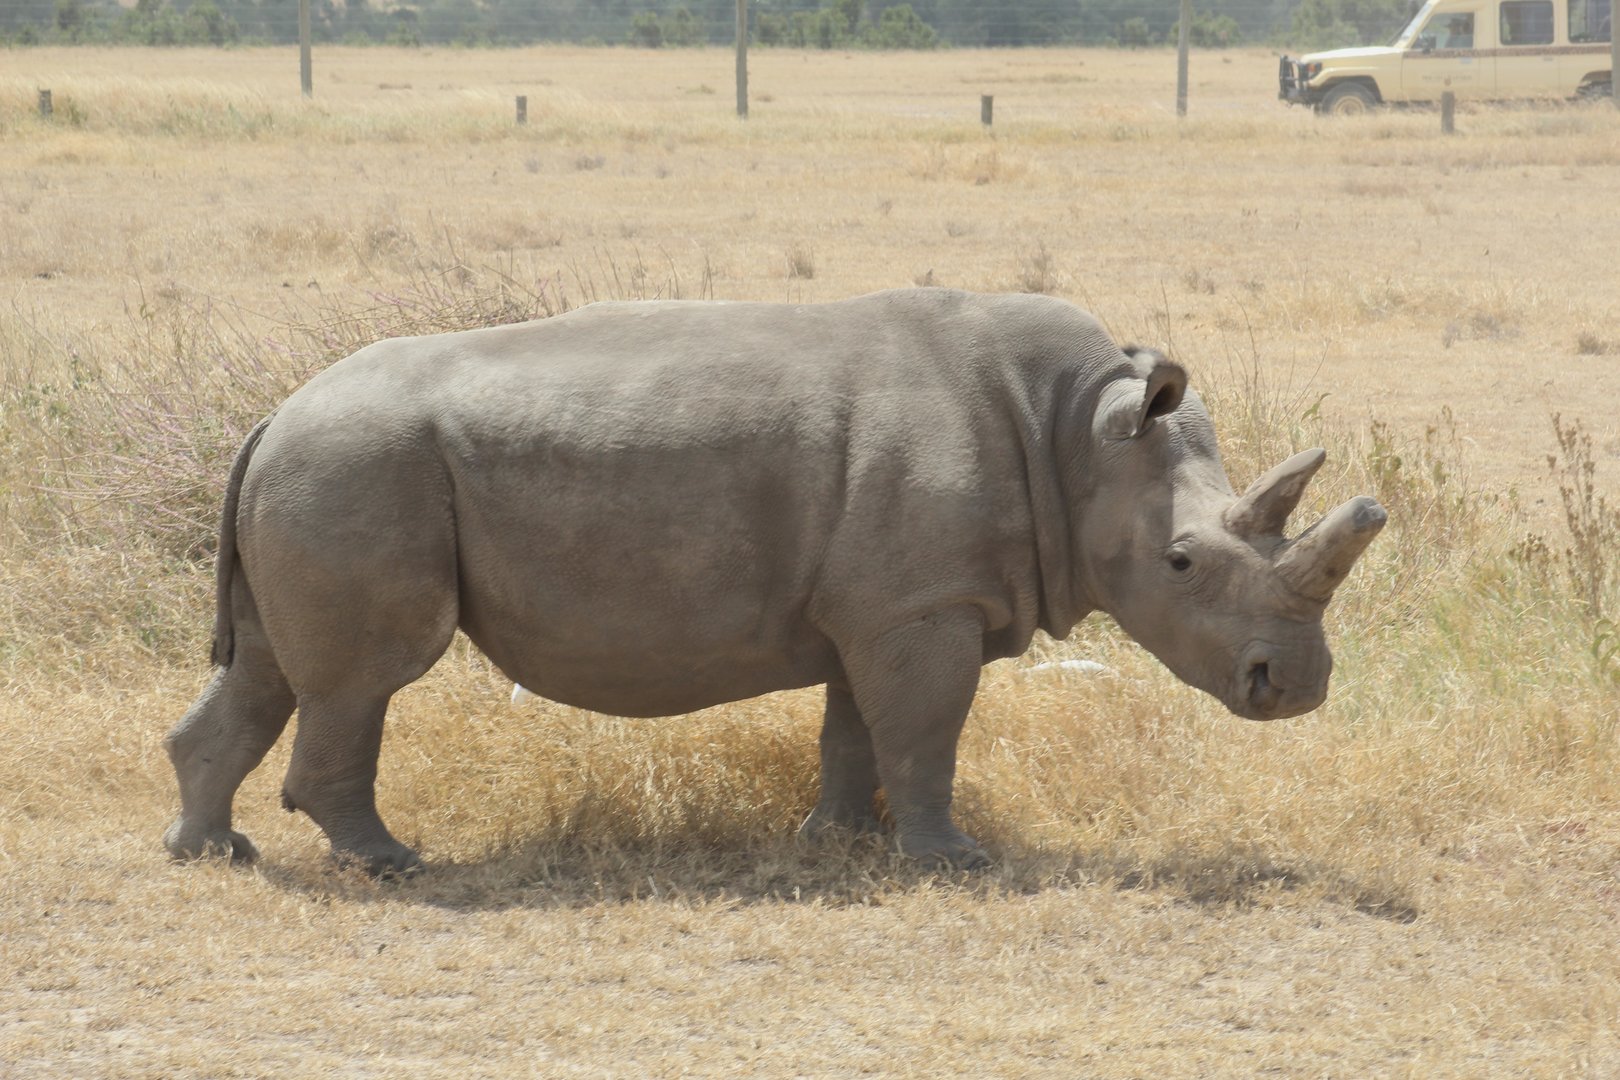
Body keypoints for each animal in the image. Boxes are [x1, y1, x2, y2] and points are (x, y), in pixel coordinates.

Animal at [163, 288, 1385, 875]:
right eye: (1182, 565)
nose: (1294, 687)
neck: (1081, 428)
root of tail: (270, 417)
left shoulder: (885, 601)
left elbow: (857, 732)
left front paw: (833, 846)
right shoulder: (924, 605)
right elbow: (924, 734)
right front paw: (954, 864)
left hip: (326, 467)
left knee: (269, 670)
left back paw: (214, 851)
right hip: (359, 464)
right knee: (366, 677)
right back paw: (392, 868)